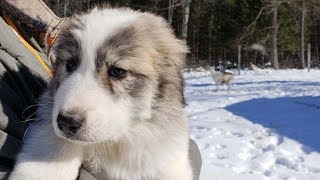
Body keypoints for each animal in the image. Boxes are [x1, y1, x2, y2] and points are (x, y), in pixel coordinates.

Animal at [10, 7, 192, 180]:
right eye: (70, 64)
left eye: (118, 71)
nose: (67, 122)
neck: (115, 141)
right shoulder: (48, 111)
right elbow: (54, 143)